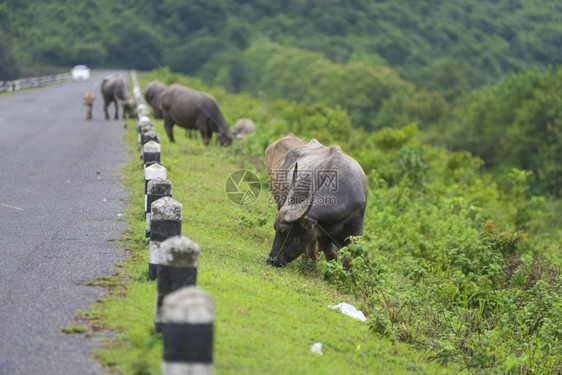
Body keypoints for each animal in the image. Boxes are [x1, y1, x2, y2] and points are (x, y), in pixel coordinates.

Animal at [266, 139, 368, 268]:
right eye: (275, 228)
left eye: (283, 231)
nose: (271, 260)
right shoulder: (322, 233)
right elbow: (330, 255)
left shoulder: (356, 232)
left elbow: (347, 260)